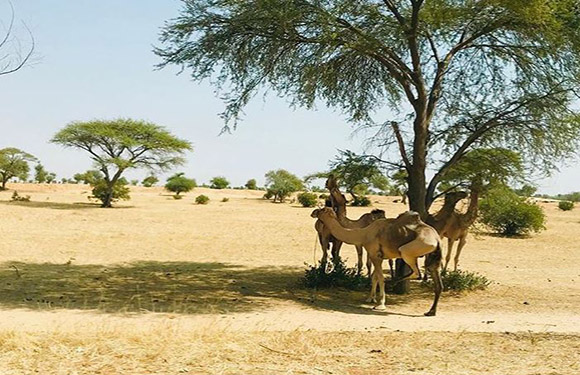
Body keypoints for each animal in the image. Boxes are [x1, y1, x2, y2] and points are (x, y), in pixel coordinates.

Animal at [310, 209, 442, 318]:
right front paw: (370, 298)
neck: (363, 233)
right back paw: (431, 311)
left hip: (409, 250)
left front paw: (380, 304)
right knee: (437, 284)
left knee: (417, 272)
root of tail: (437, 239)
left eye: (321, 210)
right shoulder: (379, 256)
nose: (313, 212)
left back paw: (393, 282)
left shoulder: (375, 255)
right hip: (432, 257)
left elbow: (380, 278)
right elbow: (375, 277)